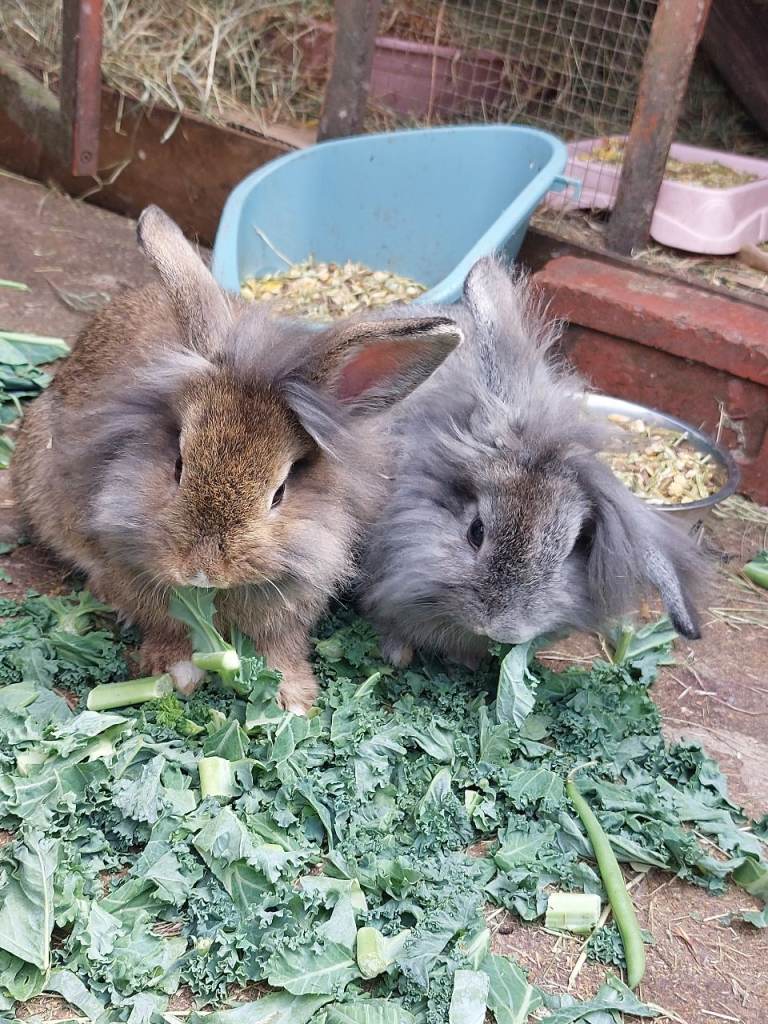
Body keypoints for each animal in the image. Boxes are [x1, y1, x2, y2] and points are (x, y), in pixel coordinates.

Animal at [11, 205, 462, 712]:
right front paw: (176, 674)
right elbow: (168, 628)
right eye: (178, 466)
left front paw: (293, 700)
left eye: (279, 493)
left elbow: (278, 647)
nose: (202, 571)